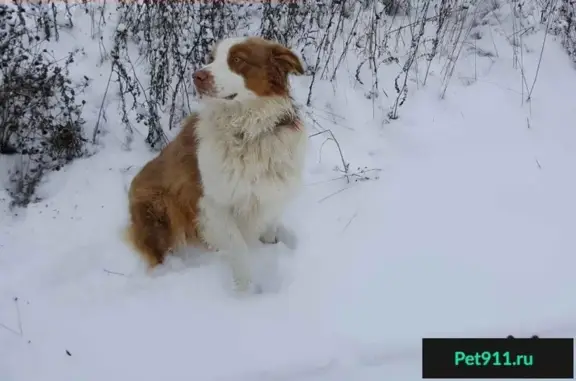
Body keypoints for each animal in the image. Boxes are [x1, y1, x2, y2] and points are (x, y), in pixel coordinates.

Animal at [125, 36, 306, 290]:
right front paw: (245, 290)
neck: (247, 133)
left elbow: (270, 219)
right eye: (210, 58)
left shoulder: (272, 189)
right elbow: (238, 247)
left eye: (237, 59)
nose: (197, 76)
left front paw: (271, 239)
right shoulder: (212, 203)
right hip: (160, 209)